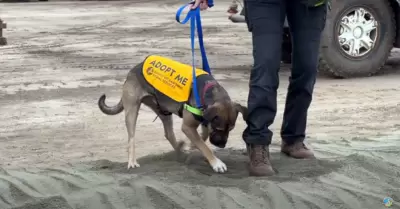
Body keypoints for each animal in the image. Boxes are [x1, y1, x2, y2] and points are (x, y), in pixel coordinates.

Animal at [98, 55, 247, 173]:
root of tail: (132, 71)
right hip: (132, 109)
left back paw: (181, 151)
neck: (208, 91)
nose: (222, 145)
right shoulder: (188, 127)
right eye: (219, 128)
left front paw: (192, 147)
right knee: (131, 138)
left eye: (231, 129)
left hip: (163, 110)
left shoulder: (203, 121)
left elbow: (202, 138)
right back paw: (132, 161)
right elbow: (204, 145)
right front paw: (216, 163)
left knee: (169, 134)